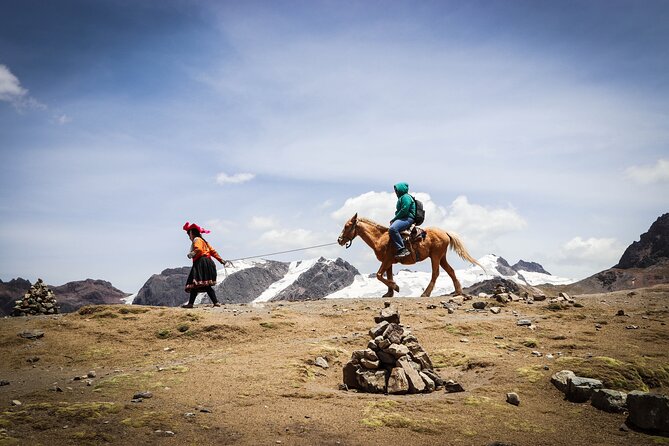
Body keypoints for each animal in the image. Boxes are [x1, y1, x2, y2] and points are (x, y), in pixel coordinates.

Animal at [337, 213, 483, 297]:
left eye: (347, 226)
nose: (339, 240)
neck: (380, 238)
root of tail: (445, 233)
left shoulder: (387, 260)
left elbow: (379, 275)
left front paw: (396, 287)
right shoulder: (388, 262)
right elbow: (387, 276)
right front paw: (389, 293)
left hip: (435, 256)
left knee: (435, 273)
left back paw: (425, 293)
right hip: (442, 257)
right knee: (451, 271)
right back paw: (458, 291)